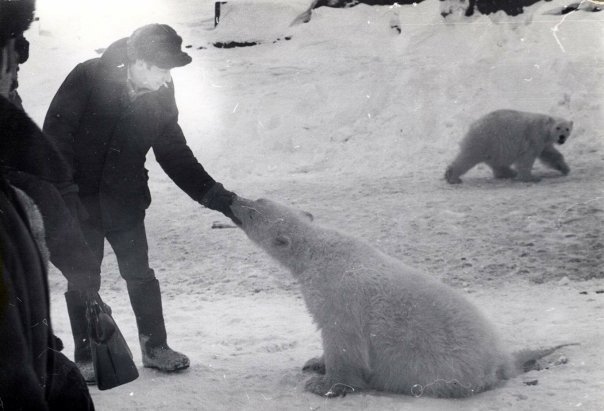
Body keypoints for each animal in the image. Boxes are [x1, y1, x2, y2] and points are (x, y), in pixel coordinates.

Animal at [229, 199, 572, 400]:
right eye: (258, 200)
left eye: (253, 210)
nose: (234, 200)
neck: (318, 250)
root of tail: (500, 359)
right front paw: (315, 363)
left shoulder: (337, 296)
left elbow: (344, 340)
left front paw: (325, 384)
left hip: (445, 370)